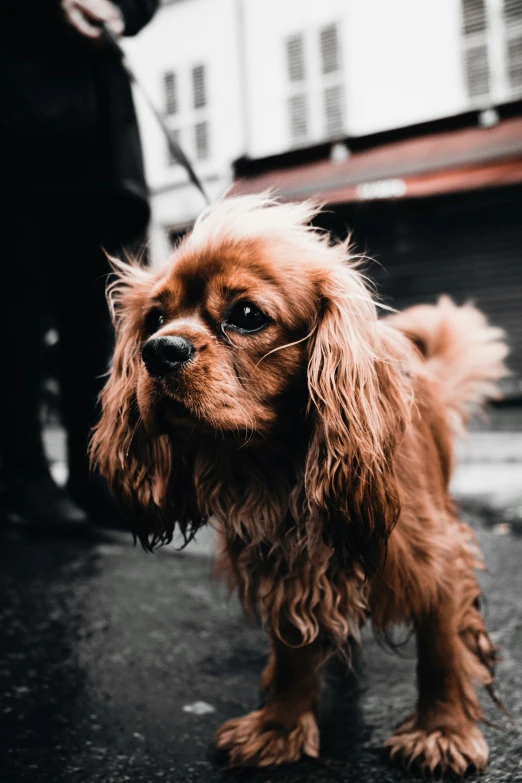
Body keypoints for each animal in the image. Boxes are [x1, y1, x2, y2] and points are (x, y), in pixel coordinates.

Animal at [91, 198, 506, 776]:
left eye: (246, 316)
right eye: (154, 318)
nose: (158, 350)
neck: (278, 465)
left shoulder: (437, 556)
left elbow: (442, 647)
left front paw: (441, 732)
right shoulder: (281, 559)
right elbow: (291, 649)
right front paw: (279, 727)